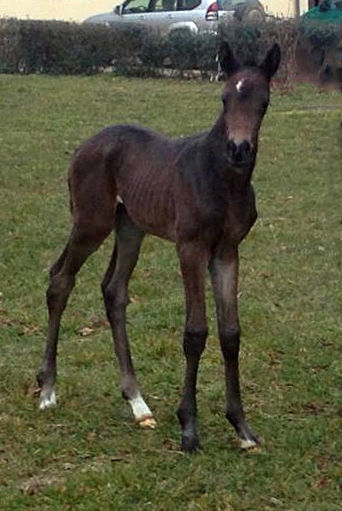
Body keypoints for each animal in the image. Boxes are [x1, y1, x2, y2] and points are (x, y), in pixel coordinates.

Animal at [36, 43, 280, 452]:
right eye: (224, 98)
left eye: (263, 102)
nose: (238, 149)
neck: (222, 178)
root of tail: (83, 146)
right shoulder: (190, 247)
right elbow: (195, 332)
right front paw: (189, 429)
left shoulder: (227, 251)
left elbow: (230, 333)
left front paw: (242, 428)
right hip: (91, 223)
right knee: (60, 280)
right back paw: (47, 389)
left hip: (130, 228)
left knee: (114, 291)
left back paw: (137, 402)